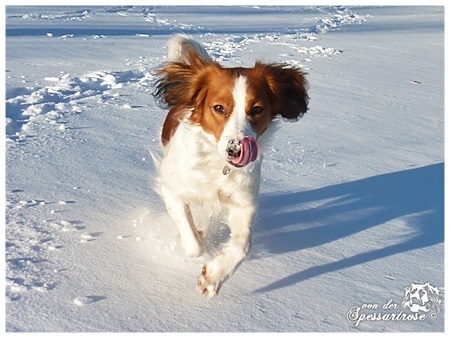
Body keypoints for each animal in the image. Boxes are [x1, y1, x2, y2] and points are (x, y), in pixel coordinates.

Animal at [153, 34, 308, 298]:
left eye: (257, 109)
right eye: (219, 108)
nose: (235, 150)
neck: (217, 166)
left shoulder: (243, 202)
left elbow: (242, 246)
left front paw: (213, 276)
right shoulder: (172, 190)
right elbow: (194, 245)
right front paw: (197, 240)